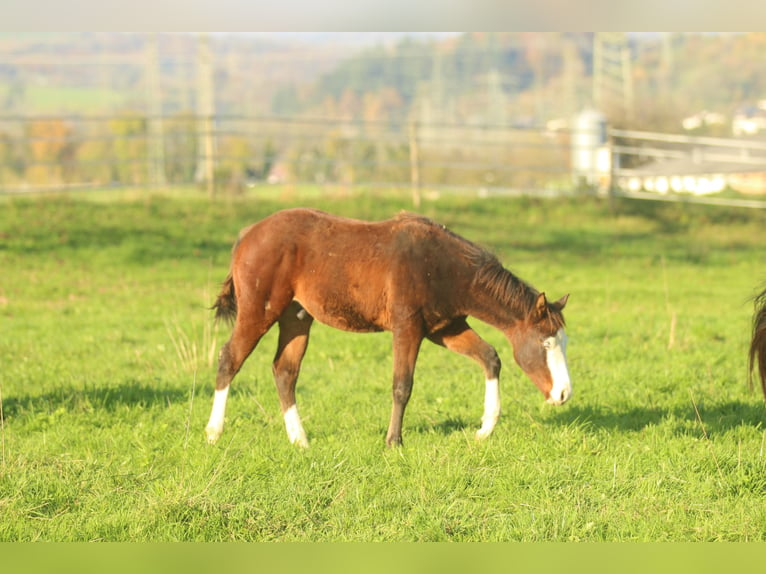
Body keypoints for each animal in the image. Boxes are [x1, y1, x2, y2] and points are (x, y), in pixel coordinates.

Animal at [204, 209, 568, 452]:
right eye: (546, 344)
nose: (564, 394)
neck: (444, 266)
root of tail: (248, 233)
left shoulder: (445, 328)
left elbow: (490, 357)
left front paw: (485, 429)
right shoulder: (408, 327)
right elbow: (402, 385)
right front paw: (394, 441)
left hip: (296, 317)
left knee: (285, 371)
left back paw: (300, 439)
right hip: (259, 311)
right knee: (229, 359)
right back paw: (213, 432)